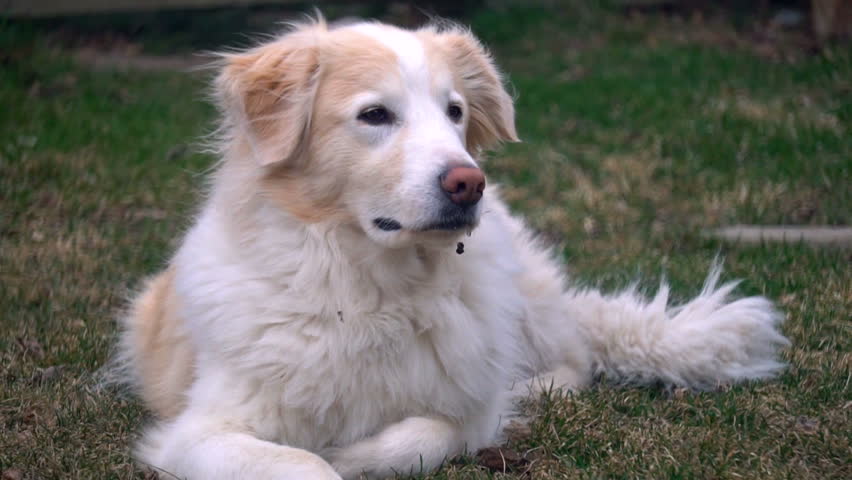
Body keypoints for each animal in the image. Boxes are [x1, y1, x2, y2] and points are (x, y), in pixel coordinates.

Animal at [116, 15, 788, 480]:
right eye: (375, 114)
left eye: (455, 112)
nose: (470, 183)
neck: (370, 291)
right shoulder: (201, 432)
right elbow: (302, 464)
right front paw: (330, 456)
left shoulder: (467, 412)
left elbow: (429, 432)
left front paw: (356, 455)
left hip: (529, 304)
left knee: (573, 361)